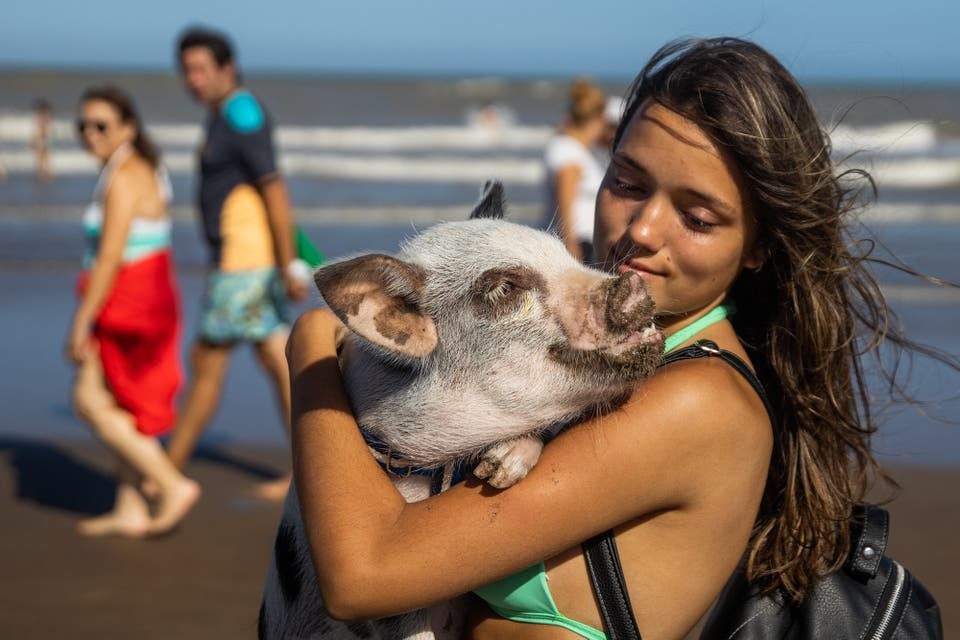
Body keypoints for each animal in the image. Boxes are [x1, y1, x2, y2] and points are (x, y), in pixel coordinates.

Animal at [258, 181, 664, 640]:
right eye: (504, 288)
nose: (631, 282)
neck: (442, 470)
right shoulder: (387, 614)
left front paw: (498, 471)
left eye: (565, 253)